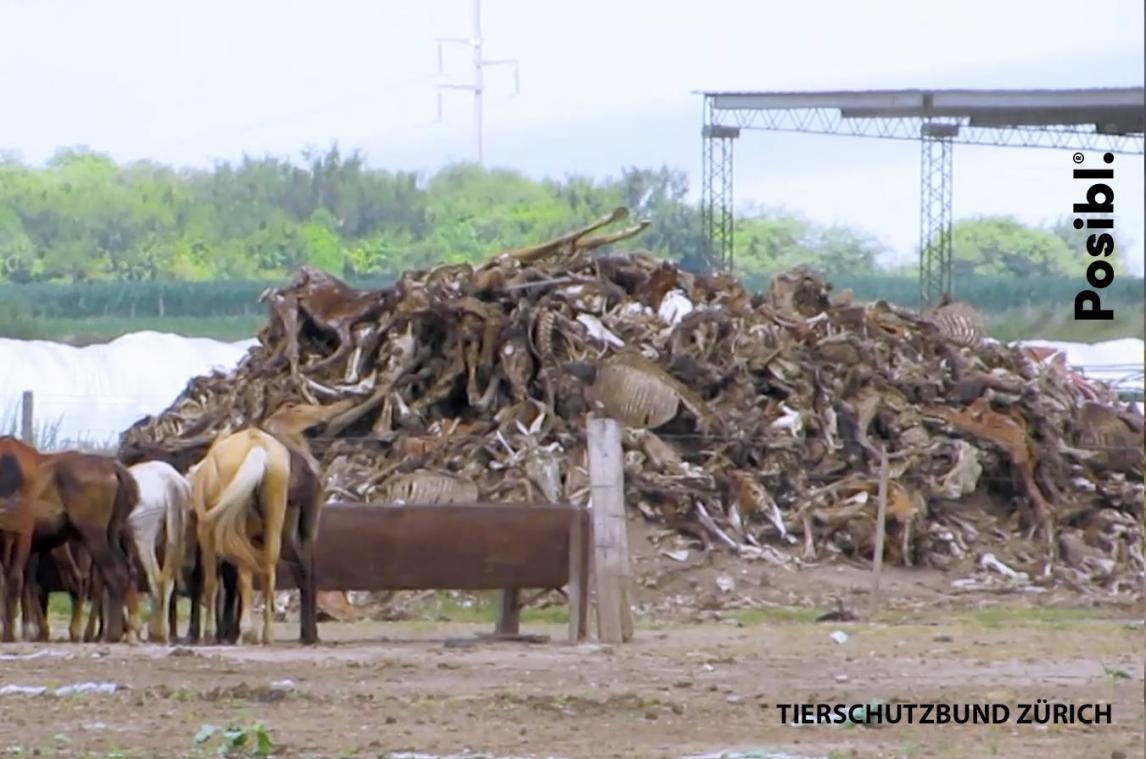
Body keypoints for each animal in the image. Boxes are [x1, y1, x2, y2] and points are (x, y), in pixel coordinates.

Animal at [0, 436, 139, 643]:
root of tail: (114, 468)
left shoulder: (22, 536)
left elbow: (16, 580)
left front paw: (13, 634)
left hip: (93, 536)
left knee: (111, 573)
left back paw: (110, 633)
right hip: (110, 535)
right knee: (123, 572)